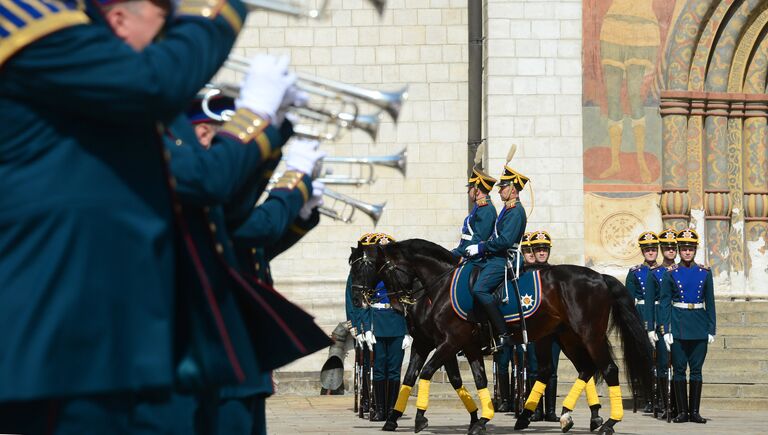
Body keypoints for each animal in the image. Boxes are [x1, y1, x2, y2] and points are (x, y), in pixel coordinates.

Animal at [350, 240, 656, 434]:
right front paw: (478, 418)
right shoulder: (445, 344)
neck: (437, 287)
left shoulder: (449, 343)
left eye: (366, 267)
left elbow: (426, 374)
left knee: (608, 369)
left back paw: (607, 423)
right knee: (581, 369)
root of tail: (599, 276)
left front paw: (420, 418)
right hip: (565, 337)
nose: (357, 298)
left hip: (588, 335)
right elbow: (435, 378)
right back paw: (562, 416)